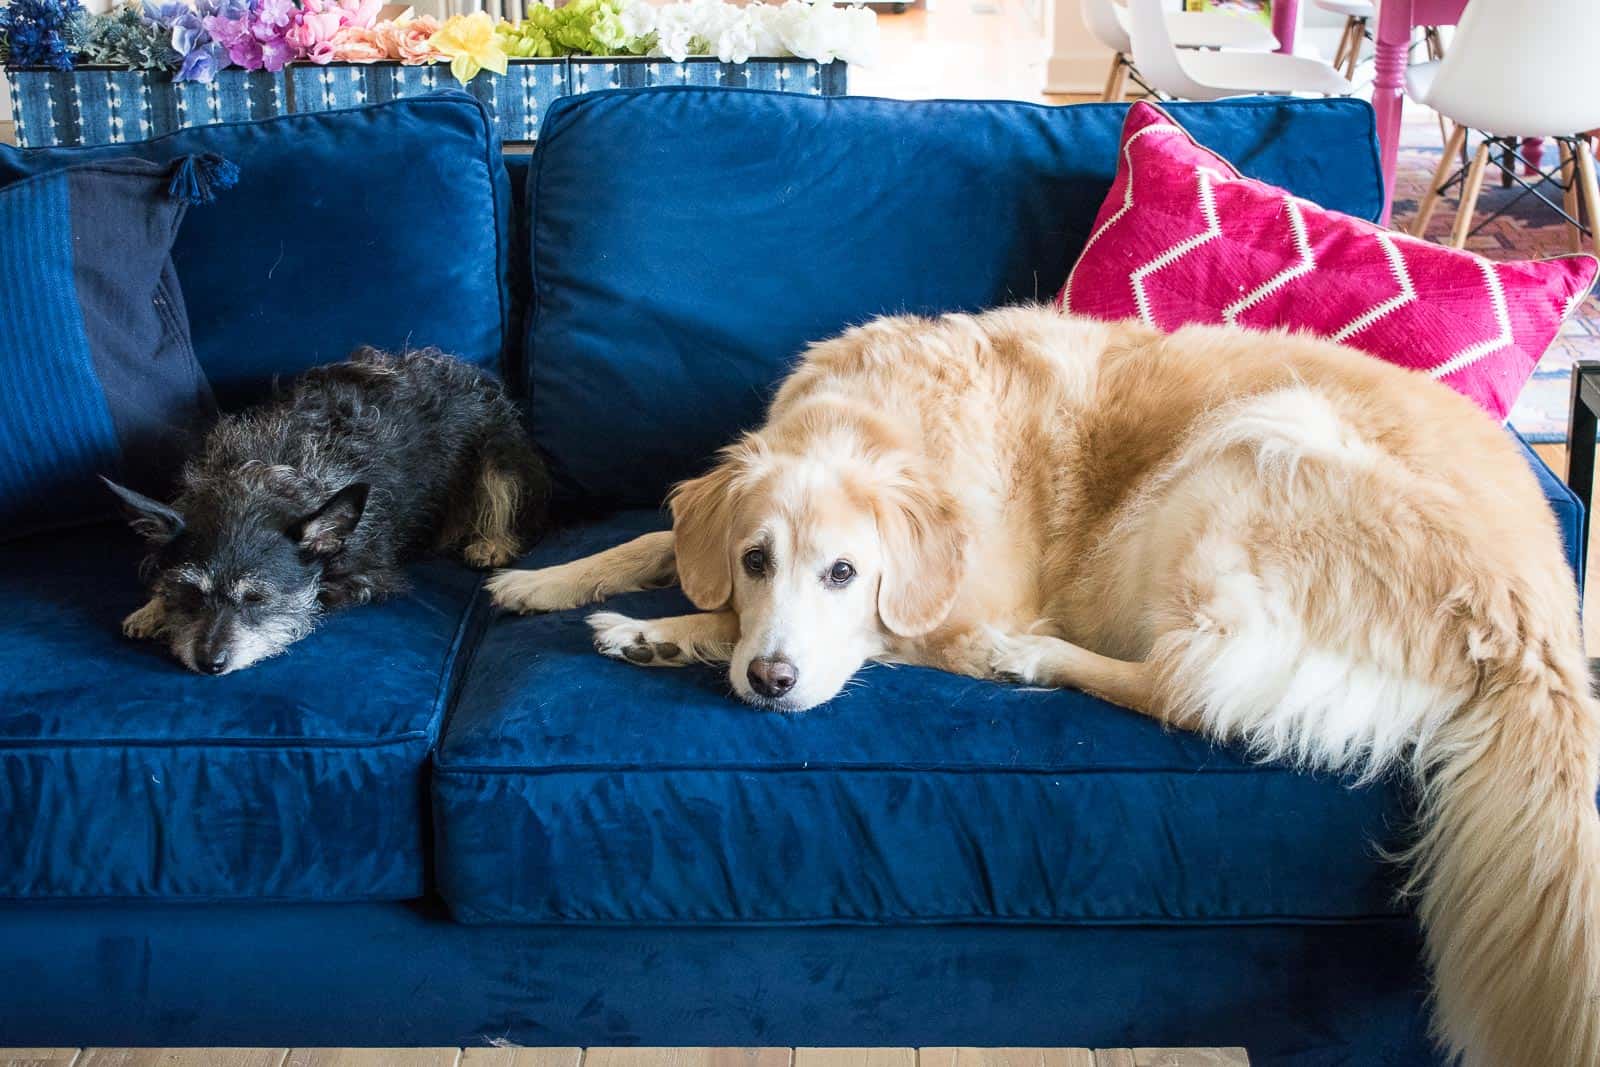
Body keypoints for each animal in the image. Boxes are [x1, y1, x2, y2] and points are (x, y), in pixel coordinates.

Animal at [109, 347, 550, 671]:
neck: (267, 475)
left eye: (256, 599)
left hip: (499, 455)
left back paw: (491, 542)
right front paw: (154, 608)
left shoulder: (367, 575)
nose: (209, 664)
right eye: (191, 593)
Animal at [486, 303, 1600, 1062]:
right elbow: (655, 539)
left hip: (1247, 452)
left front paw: (657, 633)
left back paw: (1025, 661)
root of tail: (1537, 608)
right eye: (757, 557)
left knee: (1185, 686)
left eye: (843, 572)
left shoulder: (959, 598)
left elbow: (760, 619)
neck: (880, 427)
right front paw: (549, 578)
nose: (770, 680)